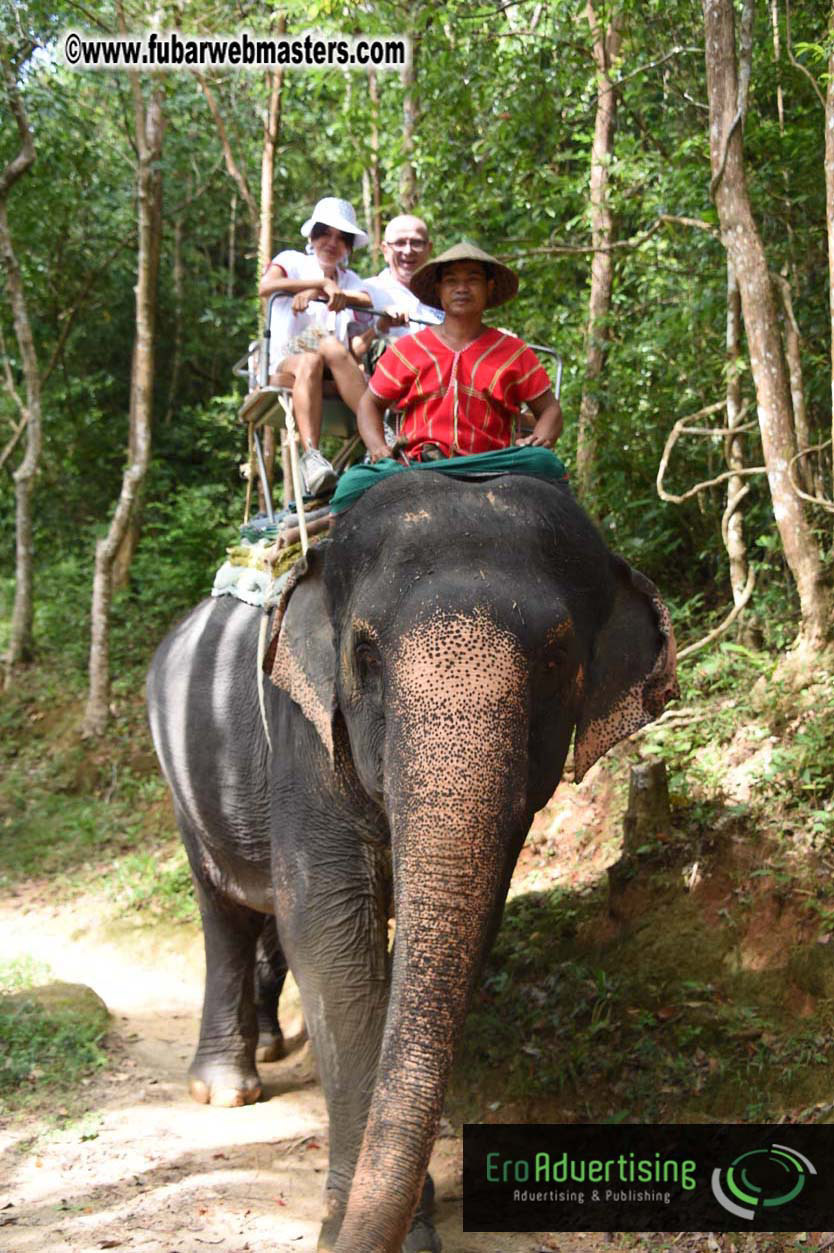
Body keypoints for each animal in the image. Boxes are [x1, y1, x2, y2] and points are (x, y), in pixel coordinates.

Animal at [146, 468, 678, 1253]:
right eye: (365, 657)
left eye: (556, 660)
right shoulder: (305, 732)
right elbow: (331, 934)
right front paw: (358, 1225)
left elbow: (448, 940)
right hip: (182, 775)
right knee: (226, 910)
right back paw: (226, 1088)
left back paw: (268, 1048)